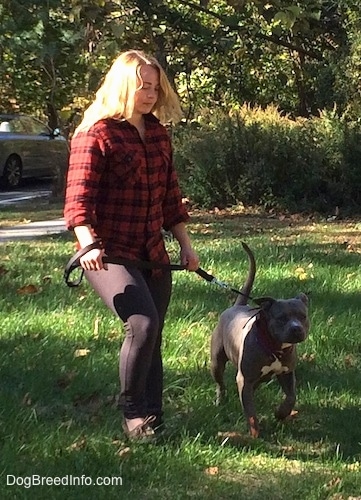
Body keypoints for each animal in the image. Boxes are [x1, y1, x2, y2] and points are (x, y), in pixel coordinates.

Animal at [211, 243, 310, 438]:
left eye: (302, 316)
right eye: (281, 318)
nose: (296, 328)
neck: (274, 348)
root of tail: (237, 306)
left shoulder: (287, 373)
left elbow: (291, 397)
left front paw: (281, 413)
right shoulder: (245, 378)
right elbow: (250, 412)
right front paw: (254, 433)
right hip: (217, 361)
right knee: (221, 383)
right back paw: (221, 400)